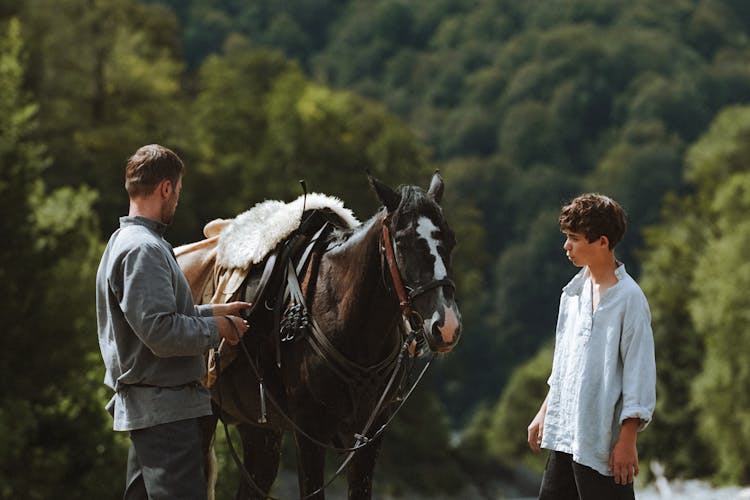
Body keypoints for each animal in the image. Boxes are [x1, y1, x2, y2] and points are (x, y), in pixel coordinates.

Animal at [192, 171, 464, 496]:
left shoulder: (369, 434)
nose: (446, 325)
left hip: (259, 430)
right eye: (404, 241)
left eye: (450, 240)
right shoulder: (310, 430)